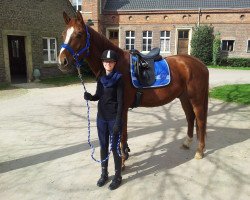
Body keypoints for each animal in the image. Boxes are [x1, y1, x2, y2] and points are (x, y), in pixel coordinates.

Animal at [57, 11, 208, 169]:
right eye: (63, 34)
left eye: (79, 34)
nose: (62, 62)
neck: (116, 65)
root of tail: (199, 64)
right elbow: (123, 134)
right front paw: (126, 154)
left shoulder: (122, 109)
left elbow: (122, 134)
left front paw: (122, 160)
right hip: (184, 98)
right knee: (190, 117)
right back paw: (187, 143)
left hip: (196, 100)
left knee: (200, 120)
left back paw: (199, 151)